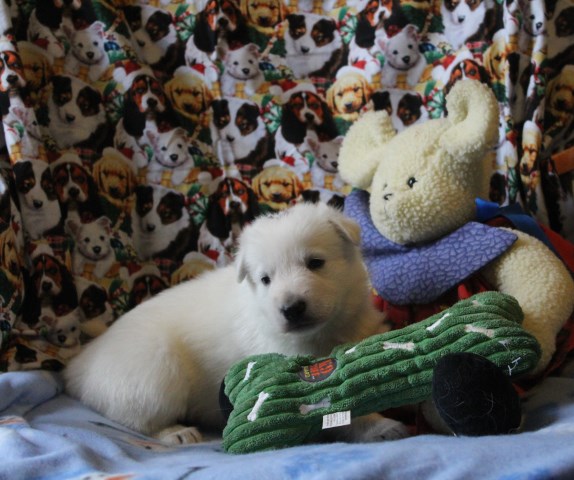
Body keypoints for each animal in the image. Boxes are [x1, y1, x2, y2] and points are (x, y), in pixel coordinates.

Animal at [65, 202, 408, 446]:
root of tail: (80, 363)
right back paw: (176, 432)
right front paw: (380, 425)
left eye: (315, 263)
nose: (291, 308)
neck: (323, 334)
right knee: (136, 417)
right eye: (265, 279)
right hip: (153, 370)